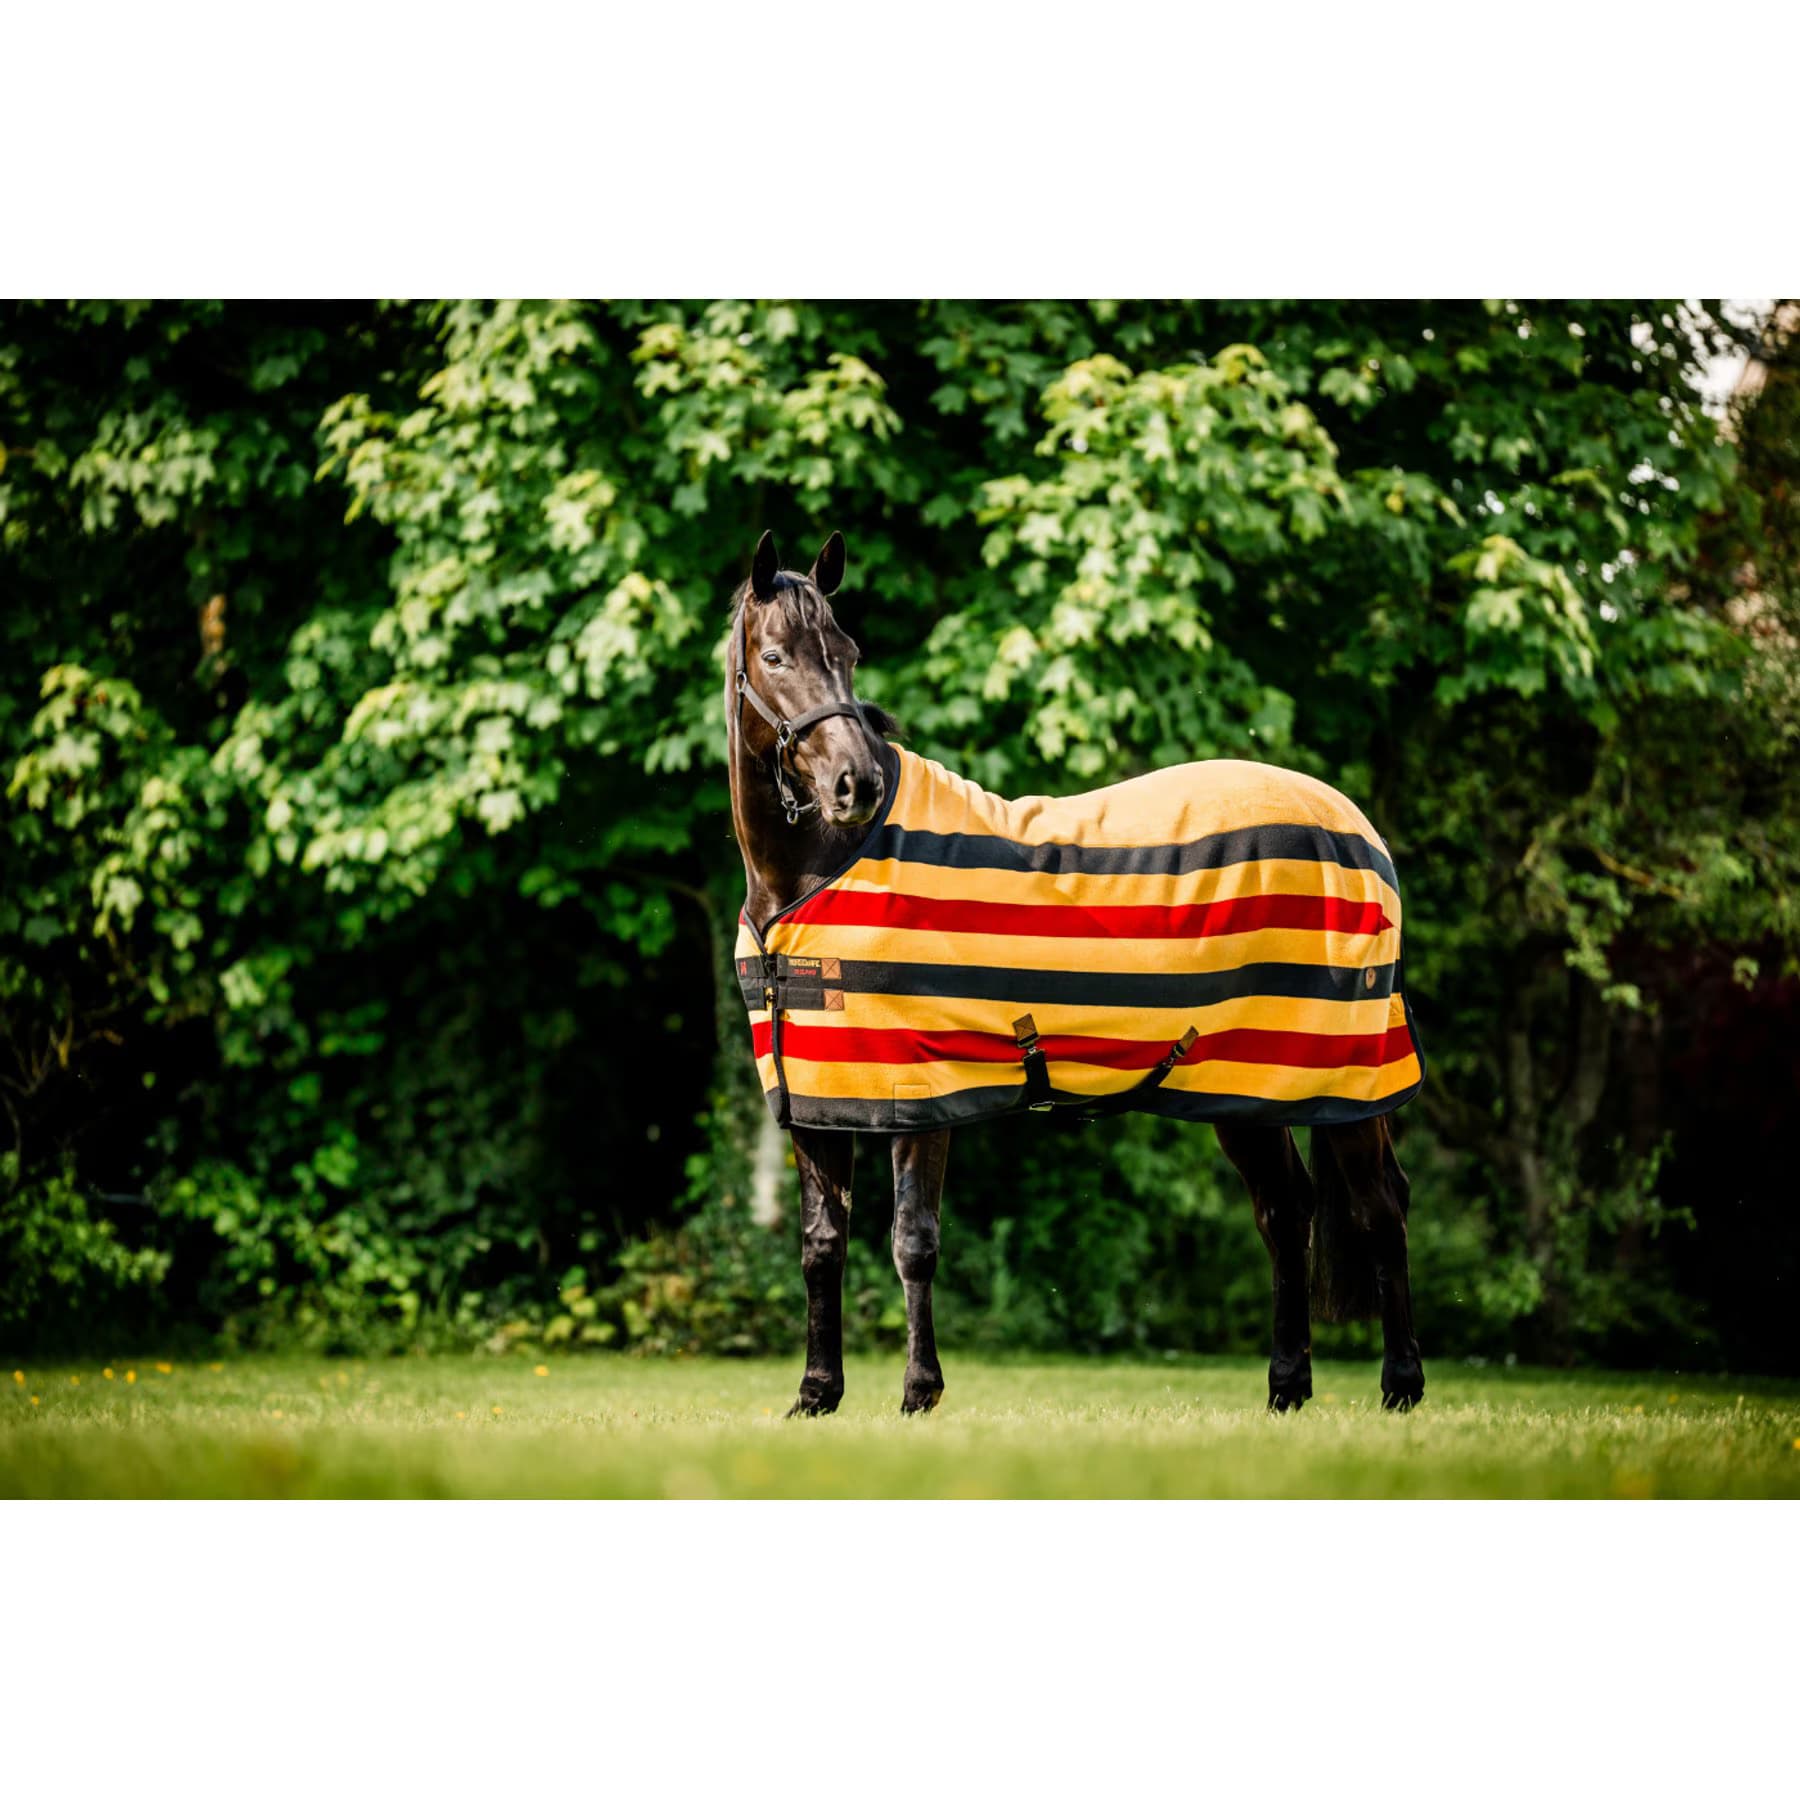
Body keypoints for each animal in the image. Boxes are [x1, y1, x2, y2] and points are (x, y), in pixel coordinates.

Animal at [725, 529, 1425, 1417]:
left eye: (847, 654)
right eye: (775, 656)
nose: (858, 784)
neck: (815, 873)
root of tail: (1354, 829)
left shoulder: (919, 1092)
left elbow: (913, 1242)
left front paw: (920, 1393)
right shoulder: (821, 1099)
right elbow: (822, 1246)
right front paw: (817, 1395)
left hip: (1346, 1075)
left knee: (1378, 1207)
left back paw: (1400, 1387)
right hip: (1247, 1083)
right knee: (1284, 1208)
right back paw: (1286, 1389)